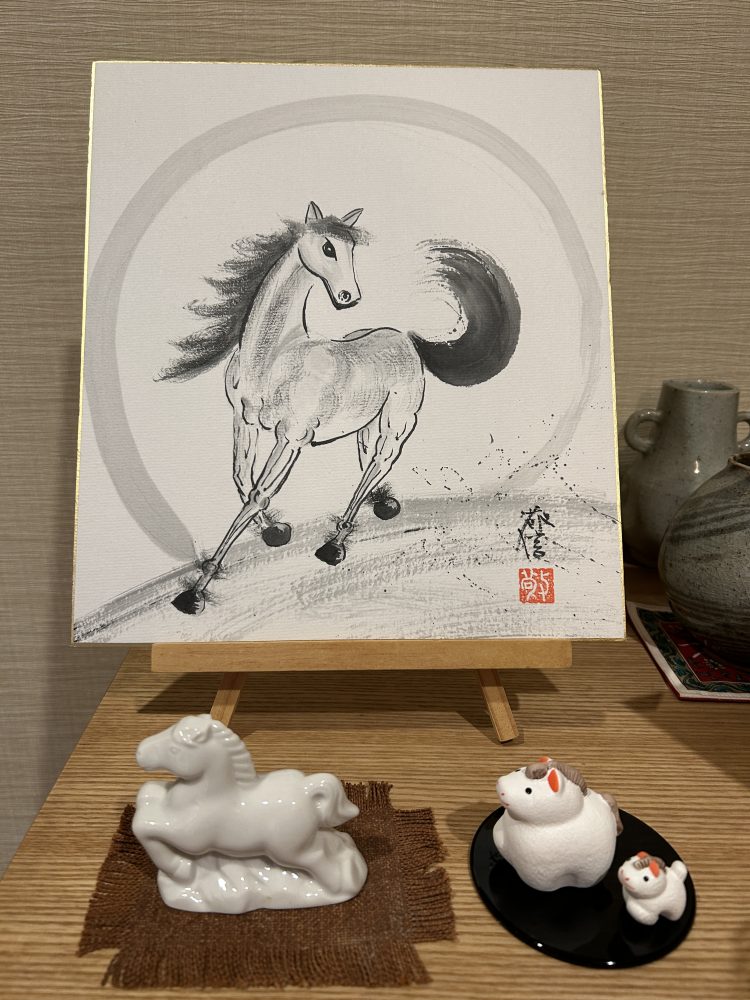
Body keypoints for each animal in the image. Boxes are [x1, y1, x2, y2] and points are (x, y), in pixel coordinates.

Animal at [163, 201, 520, 614]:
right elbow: (243, 479)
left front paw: (195, 592)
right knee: (368, 460)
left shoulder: (292, 438)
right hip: (367, 421)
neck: (273, 358)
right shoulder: (245, 421)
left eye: (351, 250)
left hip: (398, 421)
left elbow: (259, 493)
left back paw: (335, 544)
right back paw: (382, 504)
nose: (349, 296)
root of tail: (407, 338)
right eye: (328, 248)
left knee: (381, 460)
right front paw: (275, 531)